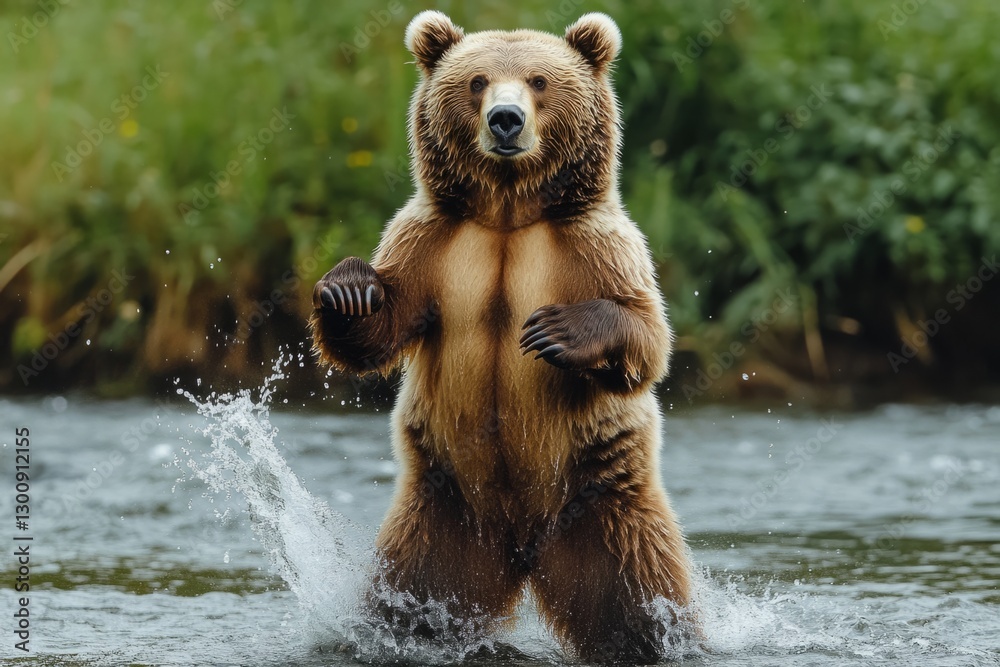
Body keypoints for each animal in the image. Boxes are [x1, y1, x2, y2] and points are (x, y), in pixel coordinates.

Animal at [310, 11, 694, 663]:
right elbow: (382, 329)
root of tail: (522, 552)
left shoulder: (596, 245)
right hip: (443, 520)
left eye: (539, 80)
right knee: (411, 600)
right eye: (477, 81)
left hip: (603, 508)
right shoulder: (431, 244)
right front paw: (349, 290)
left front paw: (554, 330)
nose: (506, 119)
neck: (509, 215)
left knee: (639, 602)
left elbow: (647, 335)